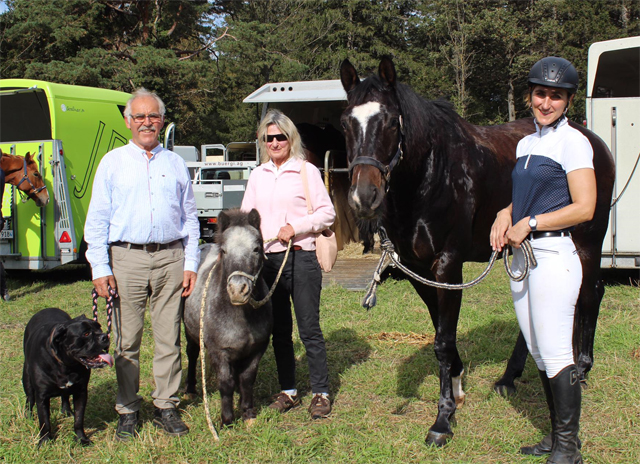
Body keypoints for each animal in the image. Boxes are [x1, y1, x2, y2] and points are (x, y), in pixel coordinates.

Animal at [21, 308, 114, 446]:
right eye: (86, 334)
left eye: (99, 327)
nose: (105, 336)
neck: (66, 366)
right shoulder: (42, 396)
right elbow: (44, 421)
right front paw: (44, 442)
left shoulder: (81, 392)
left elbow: (79, 419)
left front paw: (81, 438)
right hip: (27, 378)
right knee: (29, 399)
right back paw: (28, 417)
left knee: (64, 395)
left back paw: (66, 411)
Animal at [340, 57, 616, 446]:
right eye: (345, 122)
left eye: (391, 121)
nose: (364, 197)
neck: (431, 175)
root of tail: (594, 142)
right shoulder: (419, 271)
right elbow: (442, 334)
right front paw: (456, 387)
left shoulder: (447, 265)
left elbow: (442, 340)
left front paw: (442, 420)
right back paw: (509, 377)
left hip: (588, 241)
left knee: (591, 293)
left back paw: (582, 367)